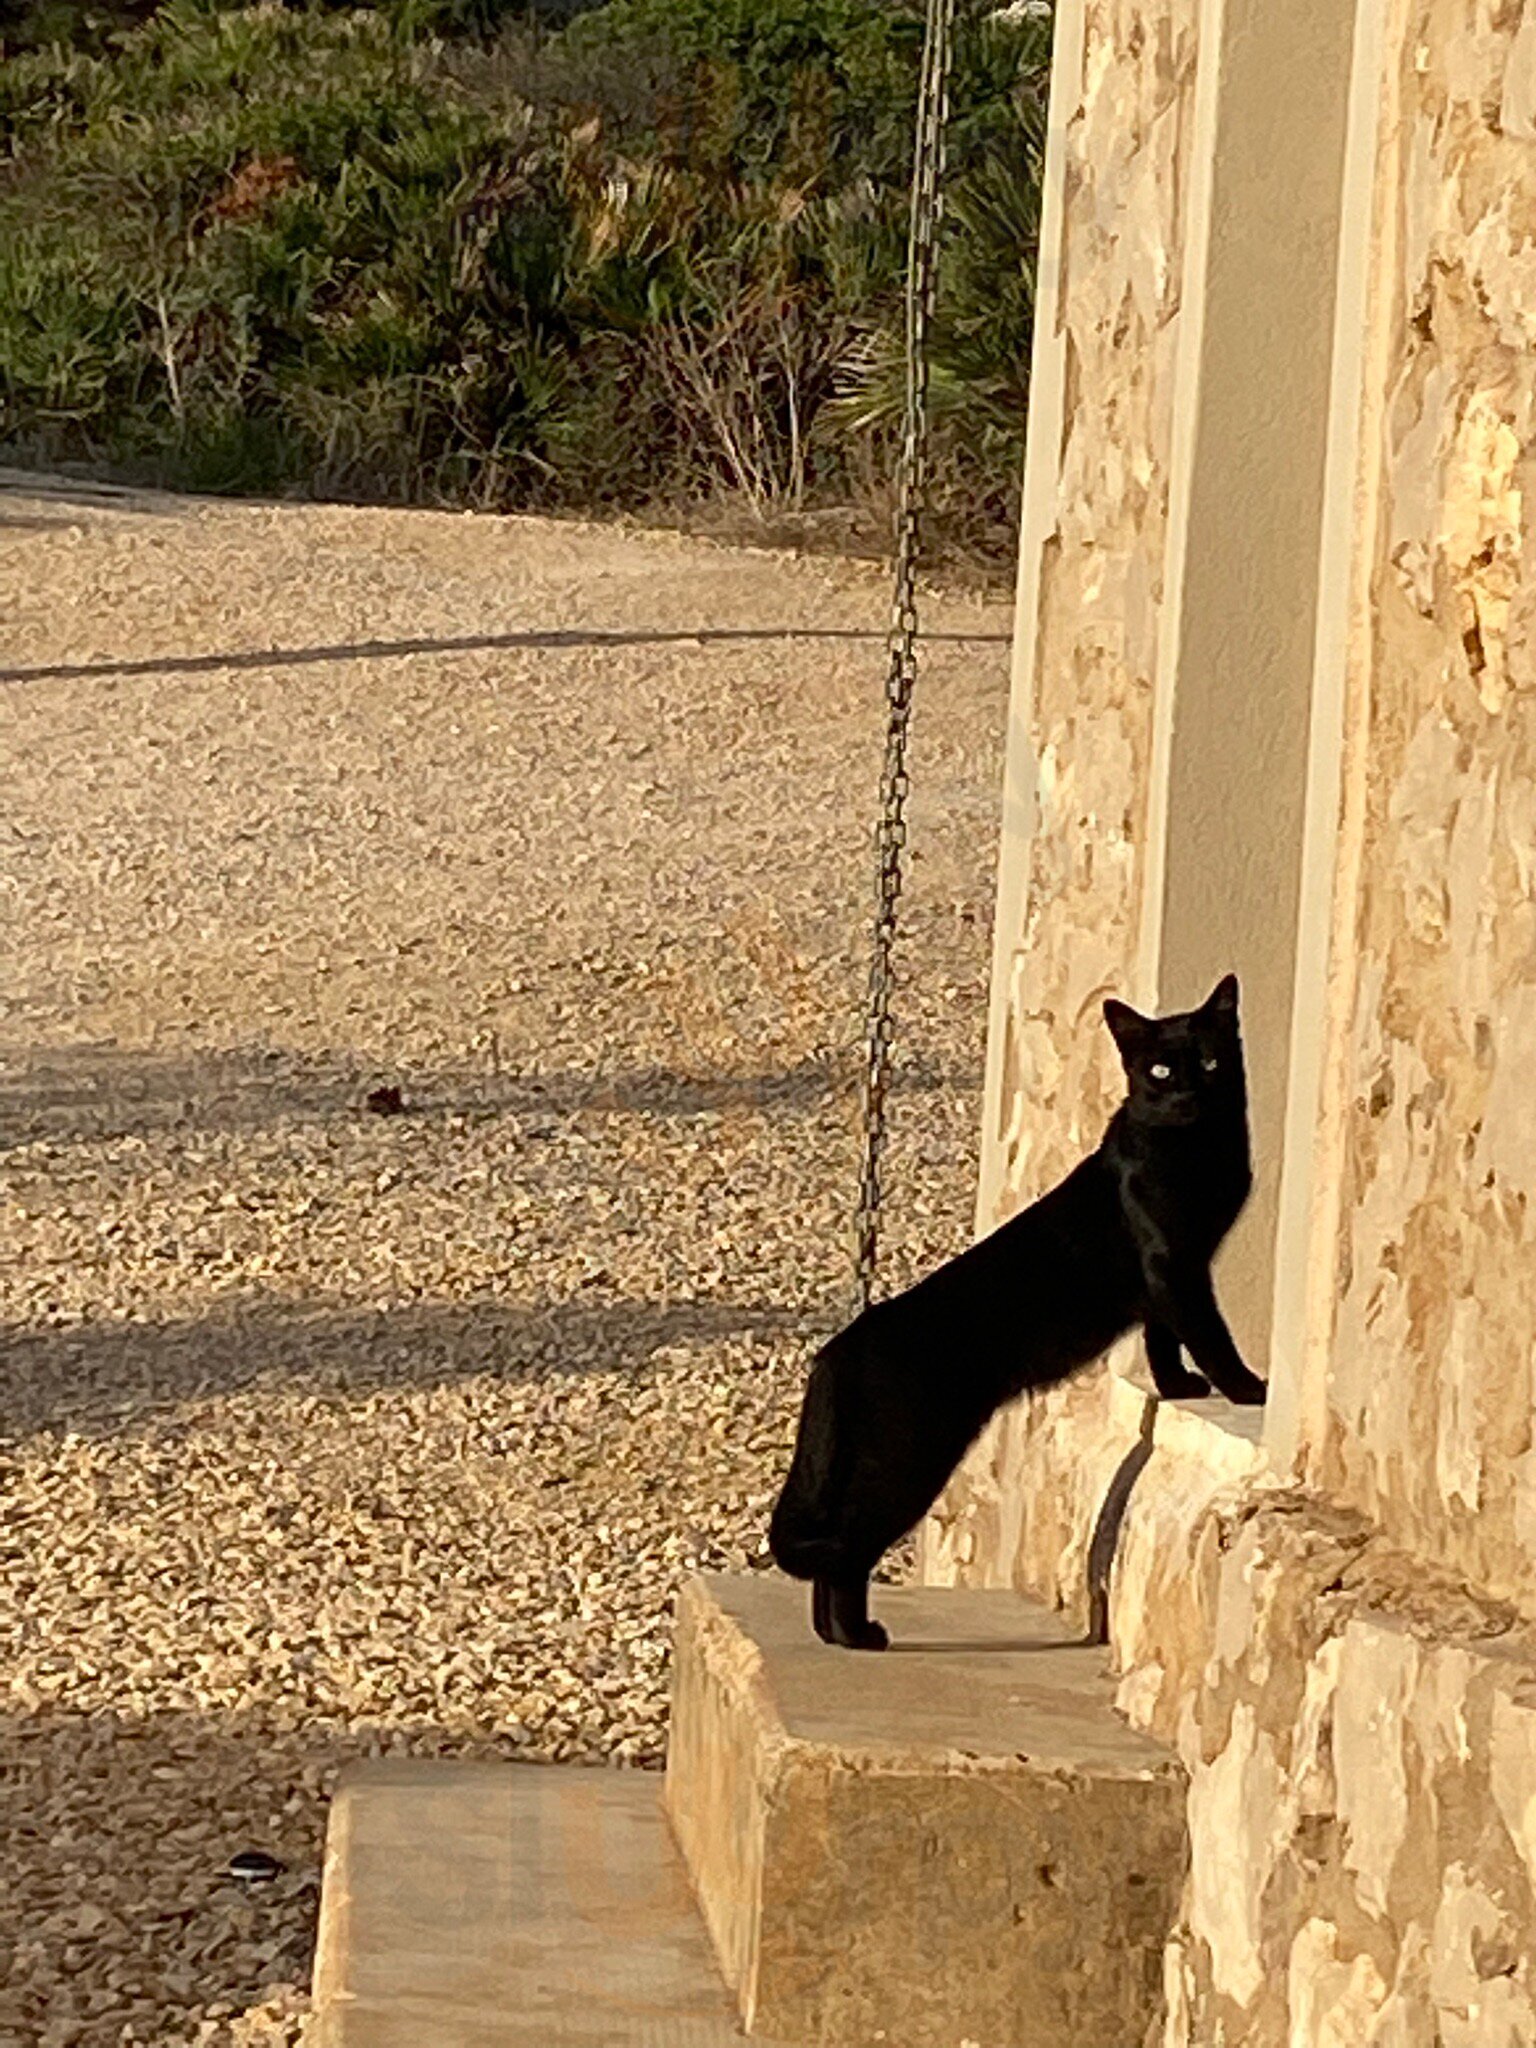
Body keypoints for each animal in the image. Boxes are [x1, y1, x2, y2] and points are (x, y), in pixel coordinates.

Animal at [765, 970, 1261, 1646]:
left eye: (1210, 1060)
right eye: (1159, 1070)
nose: (1187, 1095)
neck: (1199, 1150)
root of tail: (840, 1346)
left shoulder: (1169, 1276)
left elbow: (1163, 1337)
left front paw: (1179, 1386)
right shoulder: (1175, 1264)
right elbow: (1209, 1334)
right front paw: (1248, 1388)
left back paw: (835, 1636)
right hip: (905, 1460)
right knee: (848, 1548)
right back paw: (860, 1636)